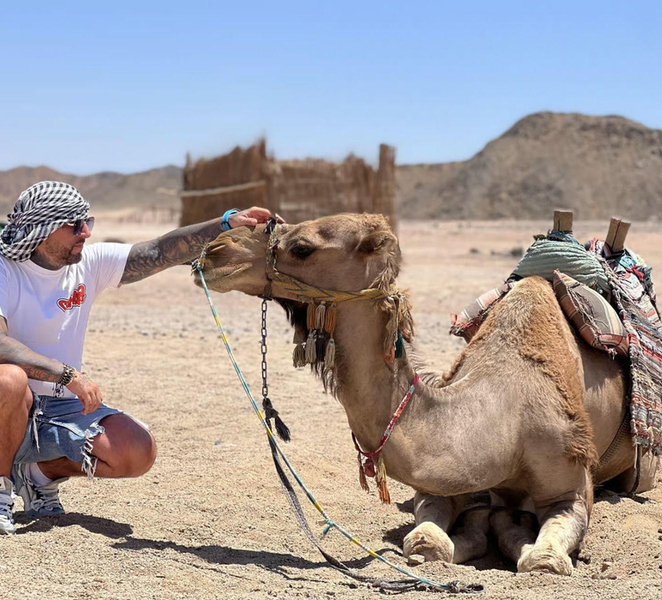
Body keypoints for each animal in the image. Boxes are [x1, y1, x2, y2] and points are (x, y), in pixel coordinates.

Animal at [194, 213, 659, 575]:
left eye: (302, 247)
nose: (215, 250)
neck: (506, 411)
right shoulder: (443, 481)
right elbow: (426, 540)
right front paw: (477, 527)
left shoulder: (571, 487)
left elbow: (542, 559)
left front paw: (519, 535)